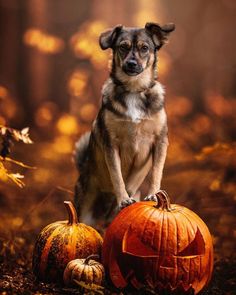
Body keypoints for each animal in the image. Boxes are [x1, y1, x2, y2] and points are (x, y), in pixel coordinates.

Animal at [74, 22, 175, 229]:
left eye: (144, 48)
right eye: (123, 47)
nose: (131, 64)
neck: (134, 90)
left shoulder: (160, 141)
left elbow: (156, 172)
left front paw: (154, 195)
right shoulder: (111, 144)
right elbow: (117, 175)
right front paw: (123, 199)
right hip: (85, 212)